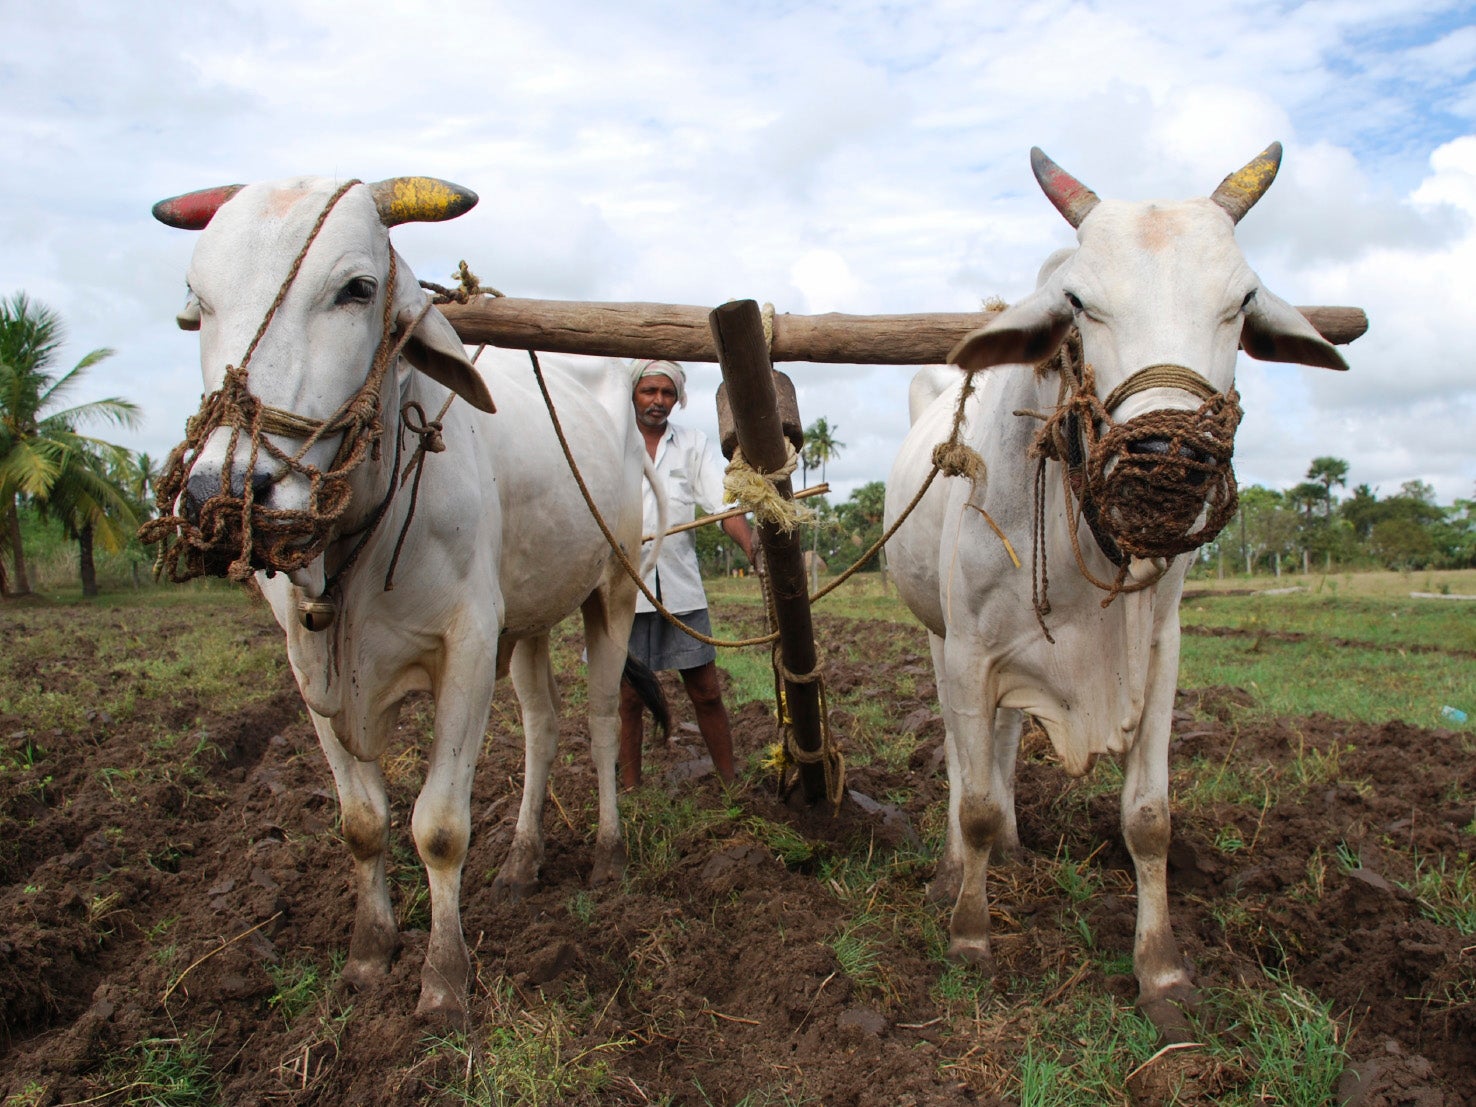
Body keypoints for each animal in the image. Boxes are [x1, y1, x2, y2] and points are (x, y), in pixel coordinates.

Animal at [151, 175, 658, 1021]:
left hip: (613, 588)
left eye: (356, 288)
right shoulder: (309, 664)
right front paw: (368, 951)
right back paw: (522, 859)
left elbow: (440, 826)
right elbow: (362, 821)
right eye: (197, 302)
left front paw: (443, 979)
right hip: (527, 616)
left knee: (598, 722)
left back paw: (608, 854)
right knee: (542, 725)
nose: (222, 495)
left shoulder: (466, 646)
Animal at [879, 147, 1352, 1039]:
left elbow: (1148, 819)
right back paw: (957, 868)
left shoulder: (1161, 655)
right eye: (1078, 301)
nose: (1167, 462)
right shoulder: (971, 649)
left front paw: (1161, 971)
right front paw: (969, 935)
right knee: (962, 756)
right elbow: (974, 799)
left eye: (1242, 299)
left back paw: (1014, 849)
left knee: (1001, 740)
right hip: (938, 636)